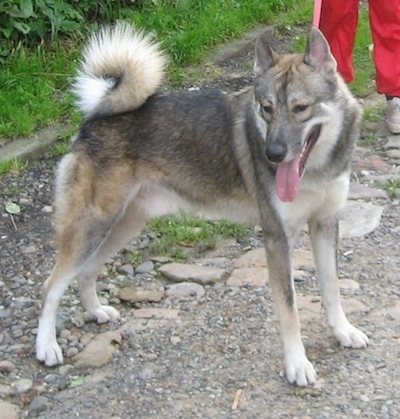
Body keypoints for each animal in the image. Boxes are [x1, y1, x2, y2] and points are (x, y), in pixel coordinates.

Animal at [36, 21, 368, 386]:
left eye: (301, 108)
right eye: (267, 108)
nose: (273, 154)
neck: (316, 169)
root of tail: (93, 118)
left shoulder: (325, 225)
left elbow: (332, 289)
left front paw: (343, 331)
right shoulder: (277, 239)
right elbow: (290, 310)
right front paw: (297, 364)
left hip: (122, 225)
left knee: (87, 271)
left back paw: (95, 311)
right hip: (93, 226)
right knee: (51, 285)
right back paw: (46, 347)